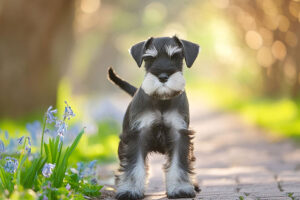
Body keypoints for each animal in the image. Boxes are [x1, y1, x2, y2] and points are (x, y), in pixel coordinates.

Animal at [107, 36, 199, 200]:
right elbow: (133, 165)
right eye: (149, 59)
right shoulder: (136, 135)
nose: (163, 77)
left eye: (176, 57)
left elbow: (180, 163)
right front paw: (130, 190)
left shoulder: (179, 134)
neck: (162, 100)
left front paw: (180, 188)